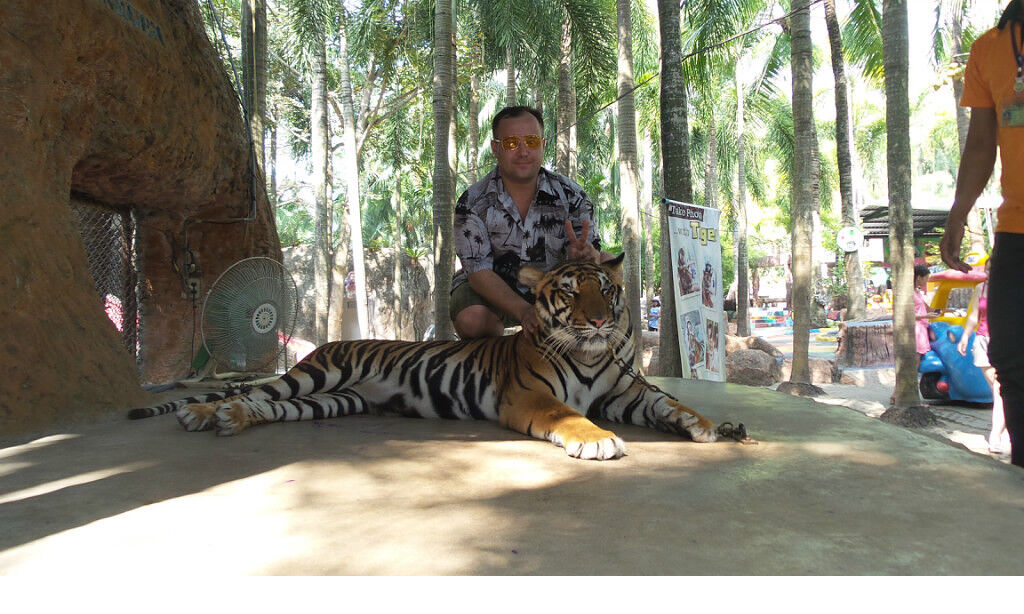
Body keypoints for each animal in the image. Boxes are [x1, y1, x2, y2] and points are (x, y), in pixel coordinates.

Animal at [127, 254, 730, 460]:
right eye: (570, 292)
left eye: (606, 291)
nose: (603, 321)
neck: (588, 355)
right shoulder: (528, 395)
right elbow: (569, 416)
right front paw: (599, 440)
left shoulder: (625, 393)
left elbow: (667, 402)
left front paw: (706, 425)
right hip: (314, 374)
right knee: (258, 391)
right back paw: (203, 413)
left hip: (334, 401)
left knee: (266, 408)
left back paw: (229, 418)